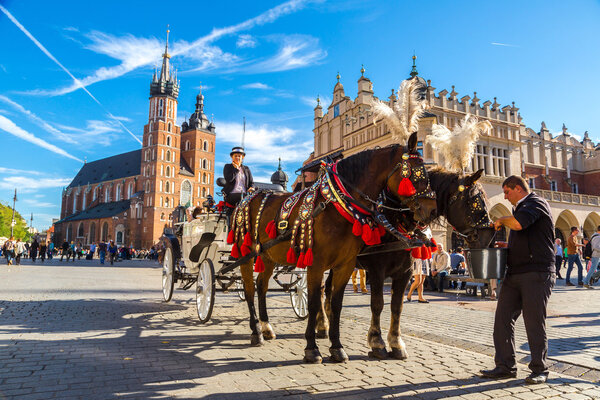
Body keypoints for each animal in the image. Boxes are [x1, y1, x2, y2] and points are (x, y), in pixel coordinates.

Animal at [234, 134, 436, 362]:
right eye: (417, 173)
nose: (432, 210)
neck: (336, 206)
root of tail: (249, 196)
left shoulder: (347, 266)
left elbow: (338, 304)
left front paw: (337, 347)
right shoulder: (321, 264)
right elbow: (316, 302)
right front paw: (312, 348)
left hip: (268, 256)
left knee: (262, 286)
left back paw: (267, 328)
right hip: (246, 253)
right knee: (249, 289)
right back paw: (256, 332)